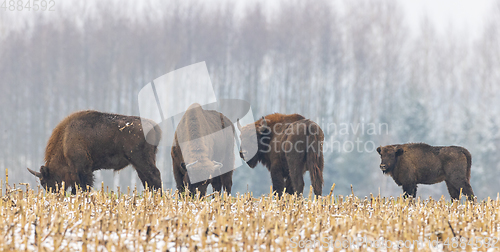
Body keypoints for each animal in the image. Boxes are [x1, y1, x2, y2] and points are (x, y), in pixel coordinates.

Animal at [27, 110, 162, 193]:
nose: (55, 195)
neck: (65, 139)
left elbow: (84, 186)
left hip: (141, 160)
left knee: (154, 175)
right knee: (147, 180)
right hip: (140, 163)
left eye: (46, 182)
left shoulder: (83, 169)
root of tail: (154, 126)